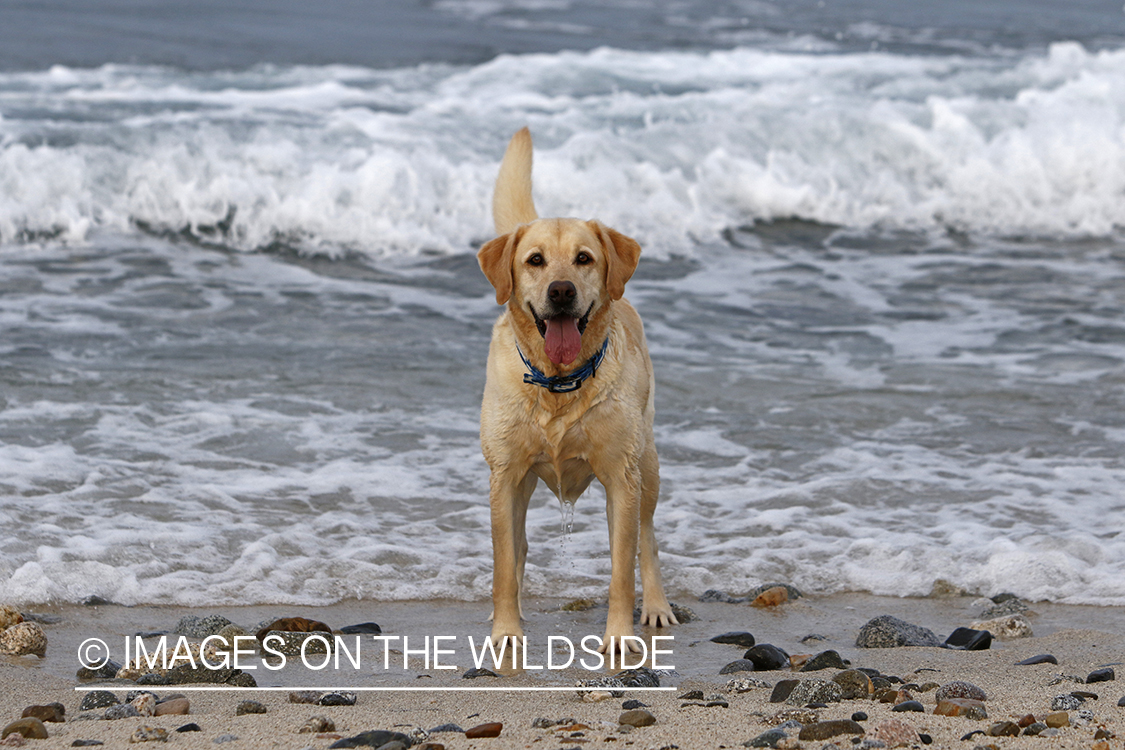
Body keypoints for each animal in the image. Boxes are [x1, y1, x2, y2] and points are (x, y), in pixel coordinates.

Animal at [477, 127, 675, 652]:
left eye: (584, 258)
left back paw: (657, 607)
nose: (562, 290)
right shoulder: (505, 476)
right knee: (519, 548)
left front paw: (619, 636)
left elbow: (621, 570)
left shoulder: (621, 479)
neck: (558, 385)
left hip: (647, 463)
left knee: (647, 539)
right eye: (535, 260)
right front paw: (506, 631)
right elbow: (504, 564)